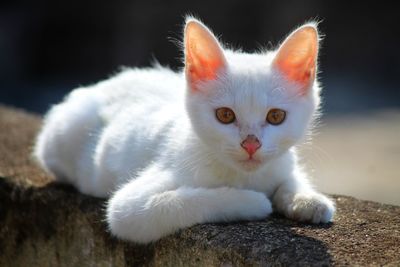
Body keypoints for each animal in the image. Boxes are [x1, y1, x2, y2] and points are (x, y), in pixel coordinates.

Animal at [33, 17, 334, 245]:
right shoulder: (131, 208)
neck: (244, 174)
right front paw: (252, 201)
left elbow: (290, 178)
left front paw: (308, 200)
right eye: (225, 115)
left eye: (276, 116)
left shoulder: (282, 162)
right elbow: (173, 204)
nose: (251, 144)